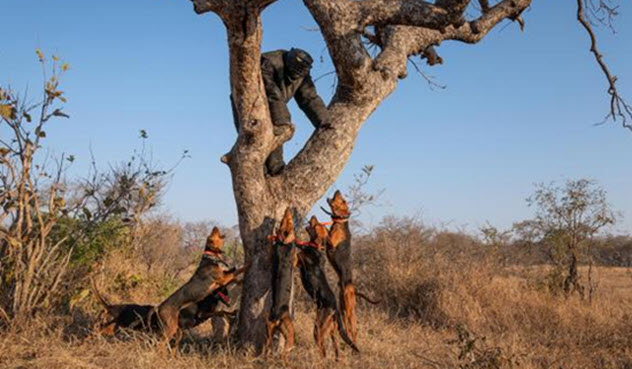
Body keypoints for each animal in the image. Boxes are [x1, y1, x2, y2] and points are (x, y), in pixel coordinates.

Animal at [298, 214, 358, 358]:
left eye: (317, 225)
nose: (313, 216)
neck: (316, 247)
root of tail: (335, 308)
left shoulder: (299, 258)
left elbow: (296, 248)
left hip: (318, 329)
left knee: (322, 348)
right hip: (331, 329)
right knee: (335, 346)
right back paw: (336, 358)